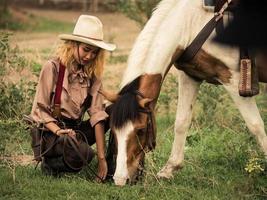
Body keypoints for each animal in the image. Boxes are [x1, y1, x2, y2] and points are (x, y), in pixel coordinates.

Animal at [102, 0, 267, 186]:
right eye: (113, 130)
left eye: (141, 130)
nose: (120, 180)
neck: (193, 23)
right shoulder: (190, 76)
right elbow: (181, 122)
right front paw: (169, 169)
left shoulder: (232, 79)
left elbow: (255, 125)